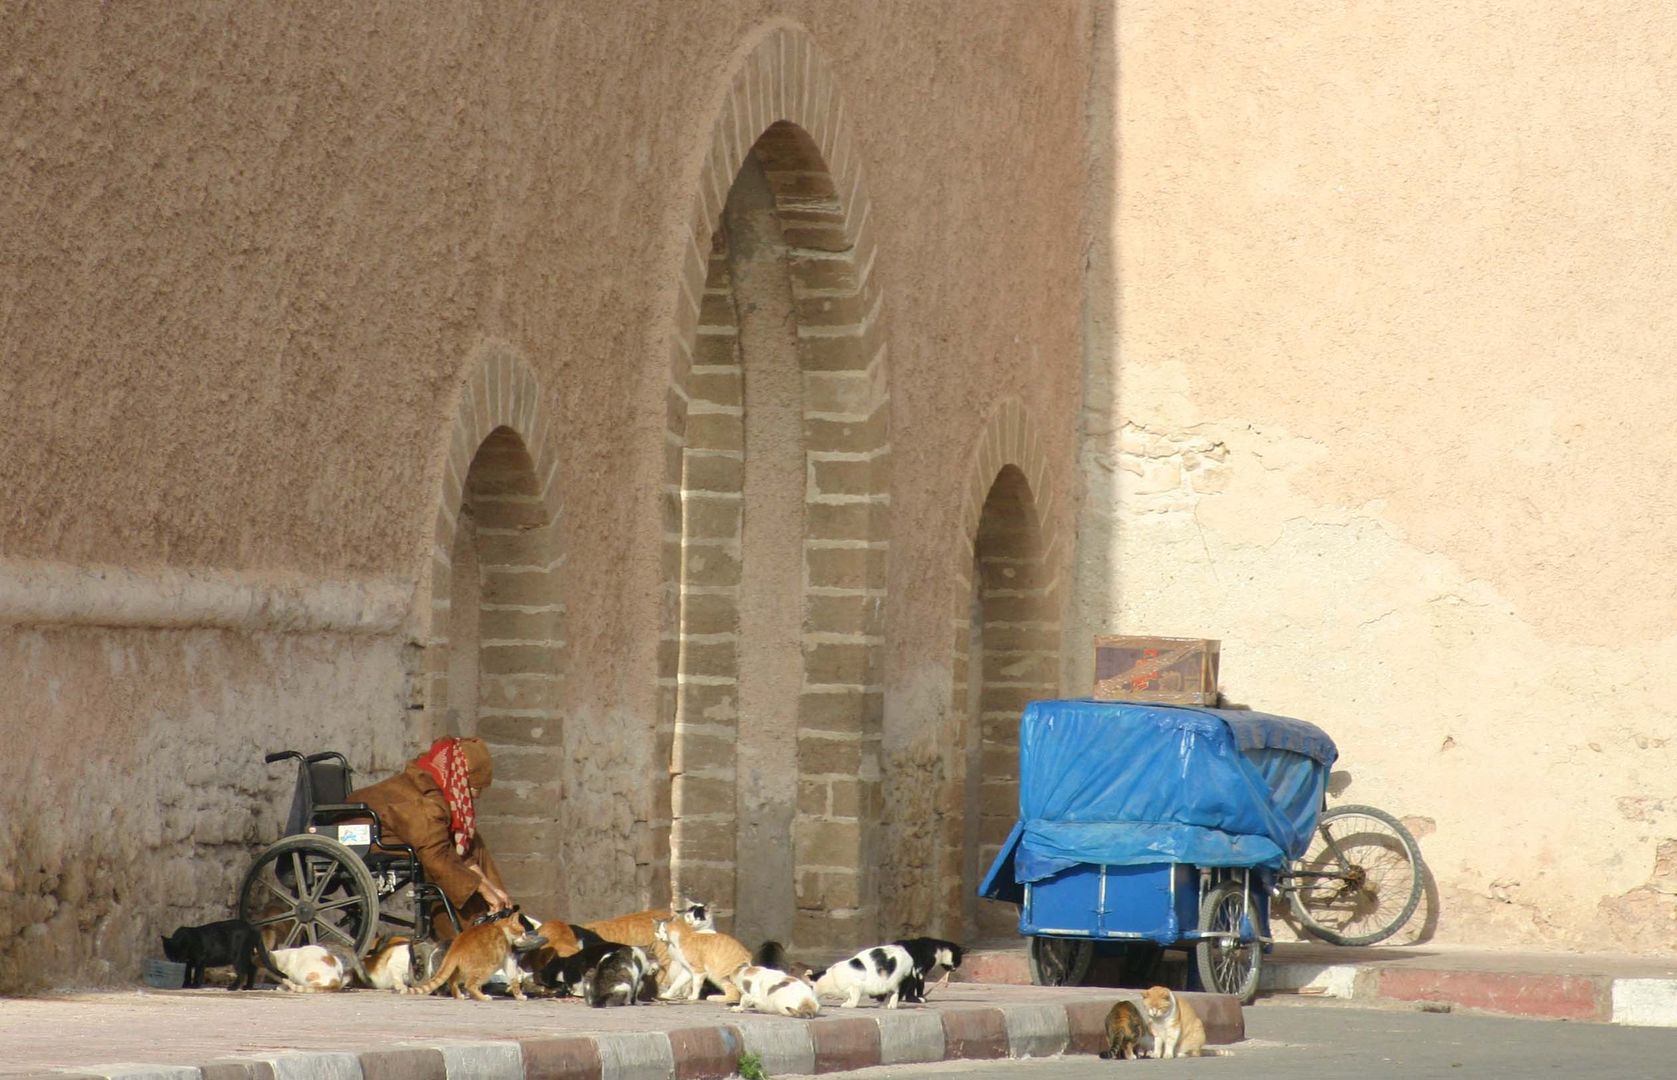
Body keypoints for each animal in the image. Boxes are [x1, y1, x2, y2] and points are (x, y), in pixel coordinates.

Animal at [159, 912, 288, 992]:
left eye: (180, 952)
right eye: (170, 954)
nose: (176, 960)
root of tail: (253, 928)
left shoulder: (199, 959)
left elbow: (197, 973)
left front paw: (194, 985)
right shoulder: (190, 962)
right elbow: (187, 973)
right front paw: (185, 985)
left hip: (239, 956)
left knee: (242, 972)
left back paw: (233, 987)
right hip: (247, 954)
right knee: (252, 968)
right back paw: (248, 986)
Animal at [404, 905, 543, 999]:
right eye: (522, 931)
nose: (526, 936)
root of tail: (456, 947)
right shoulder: (507, 959)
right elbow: (514, 979)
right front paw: (520, 994)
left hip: (459, 969)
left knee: (453, 981)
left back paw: (460, 995)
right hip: (486, 967)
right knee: (468, 984)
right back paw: (481, 996)